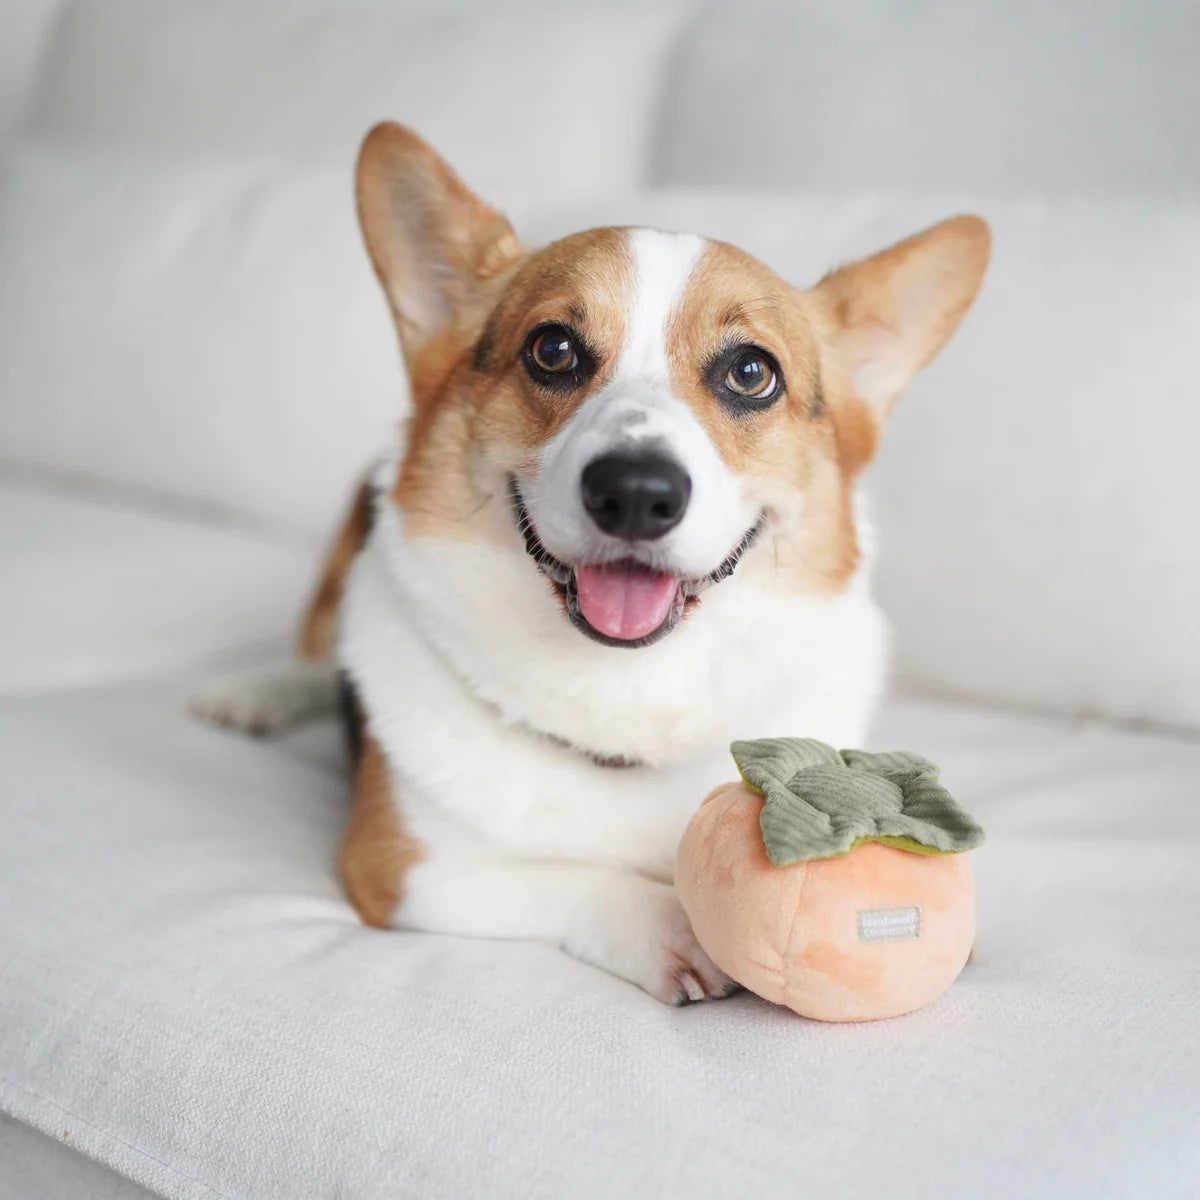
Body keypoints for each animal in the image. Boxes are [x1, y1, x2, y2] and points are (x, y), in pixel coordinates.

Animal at [194, 124, 984, 1003]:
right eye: (553, 349)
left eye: (751, 372)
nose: (636, 493)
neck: (625, 692)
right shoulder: (403, 868)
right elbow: (566, 877)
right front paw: (680, 923)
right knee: (311, 649)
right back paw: (256, 693)